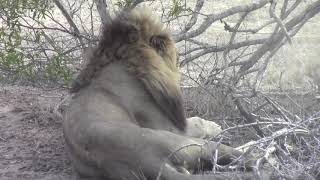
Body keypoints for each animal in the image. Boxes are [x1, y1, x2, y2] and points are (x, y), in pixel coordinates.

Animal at [63, 7, 268, 180]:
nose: (179, 61)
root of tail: (150, 162)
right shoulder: (173, 126)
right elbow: (197, 122)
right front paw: (214, 125)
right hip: (185, 142)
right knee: (237, 155)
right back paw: (259, 152)